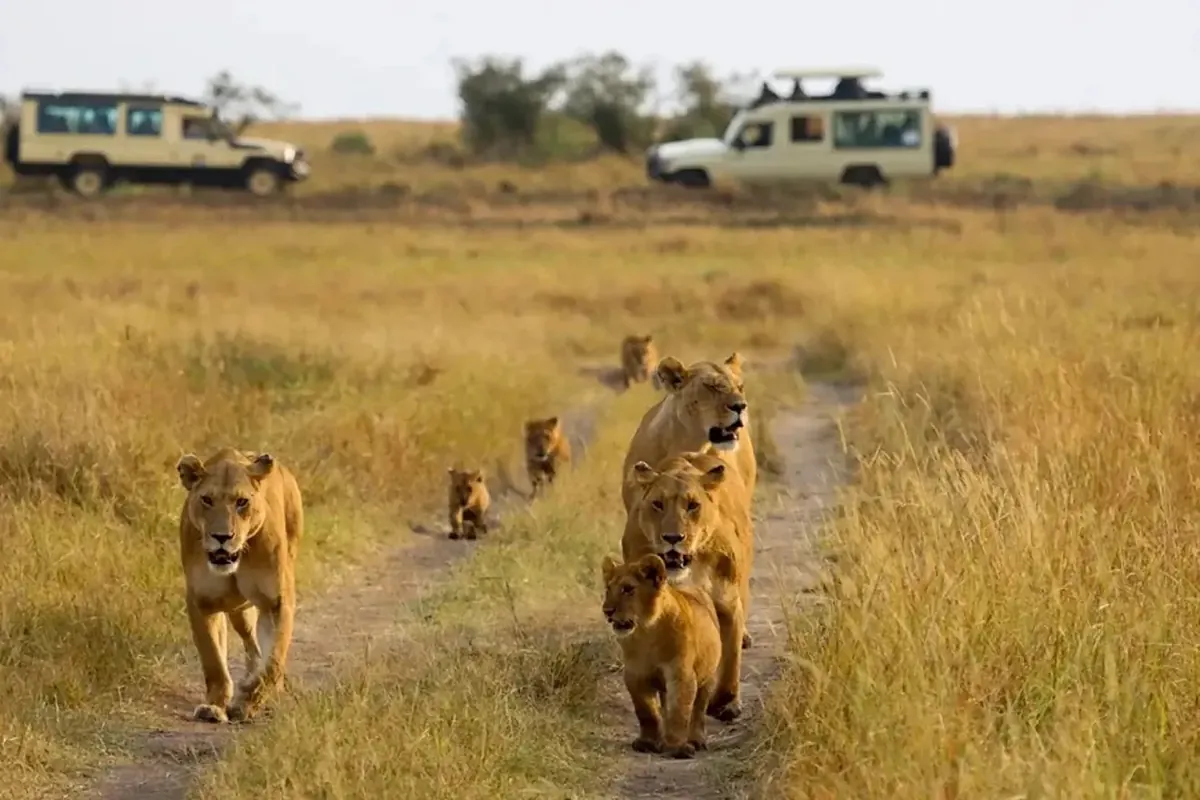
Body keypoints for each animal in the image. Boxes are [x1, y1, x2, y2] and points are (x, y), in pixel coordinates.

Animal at [175, 447, 303, 724]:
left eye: (242, 502)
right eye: (207, 500)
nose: (222, 537)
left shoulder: (277, 602)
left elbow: (273, 661)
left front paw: (247, 702)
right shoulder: (202, 602)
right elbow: (213, 659)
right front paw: (215, 706)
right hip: (238, 611)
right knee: (251, 644)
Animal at [602, 553, 722, 759]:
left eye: (628, 589)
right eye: (608, 589)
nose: (607, 611)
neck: (646, 633)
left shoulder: (681, 674)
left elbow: (679, 711)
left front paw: (676, 747)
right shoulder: (635, 675)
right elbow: (646, 712)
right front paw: (648, 743)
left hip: (708, 677)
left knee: (698, 710)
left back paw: (696, 740)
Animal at [621, 450, 753, 722]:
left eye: (693, 505)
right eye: (658, 504)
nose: (673, 538)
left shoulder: (727, 603)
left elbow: (731, 655)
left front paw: (727, 703)